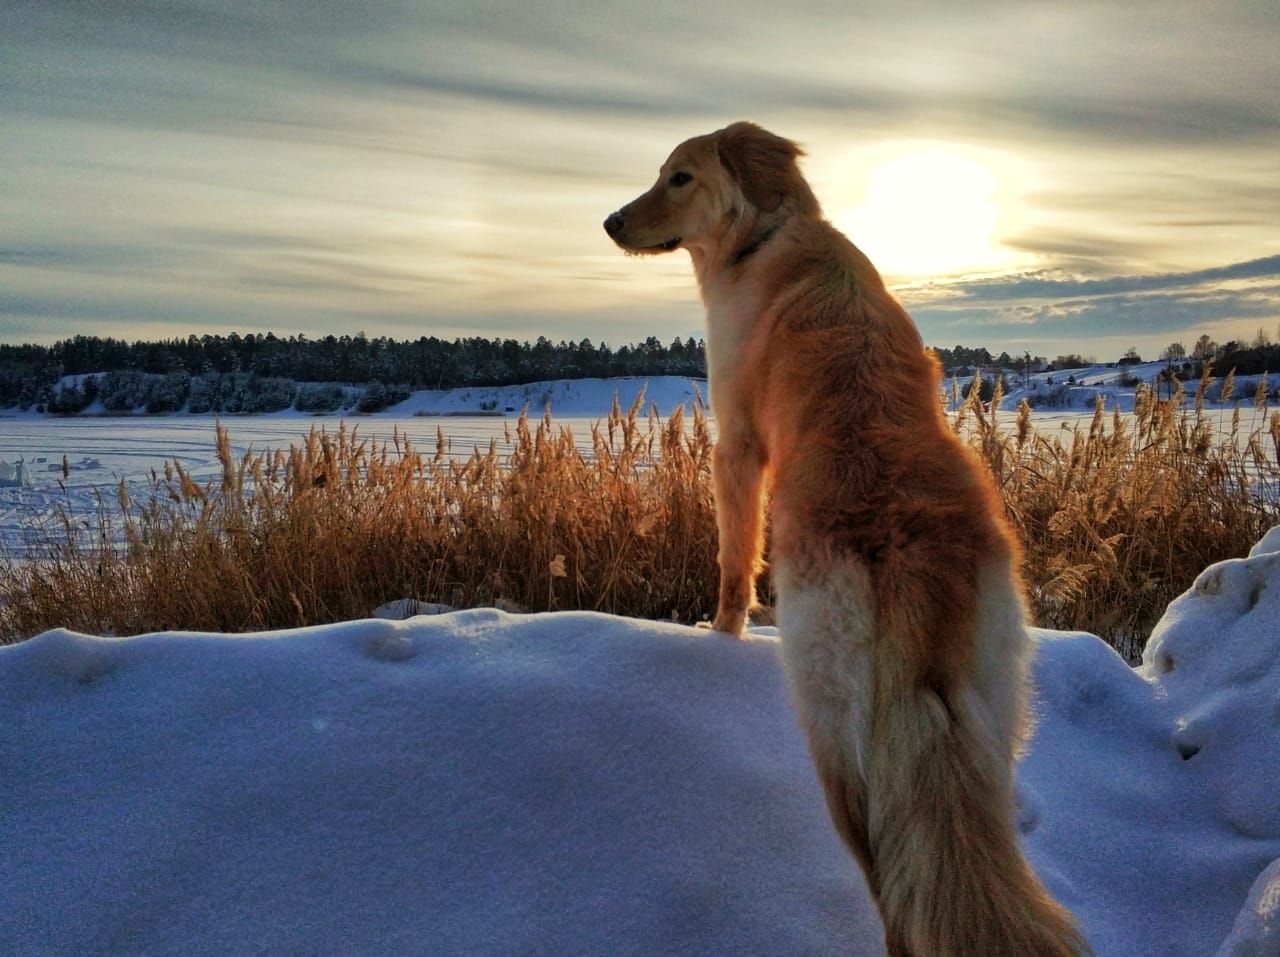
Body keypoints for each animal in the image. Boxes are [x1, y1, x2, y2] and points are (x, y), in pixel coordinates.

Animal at [604, 123, 1085, 957]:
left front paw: (723, 632)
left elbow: (734, 560)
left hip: (835, 733)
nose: (610, 222)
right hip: (990, 721)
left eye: (678, 177)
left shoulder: (736, 445)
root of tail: (913, 555)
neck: (766, 233)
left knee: (891, 886)